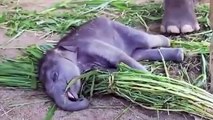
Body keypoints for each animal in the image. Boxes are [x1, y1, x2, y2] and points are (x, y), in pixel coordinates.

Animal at [38, 16, 185, 111]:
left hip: (122, 29)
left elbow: (120, 58)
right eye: (46, 91)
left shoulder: (91, 45)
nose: (81, 98)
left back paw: (170, 41)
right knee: (139, 53)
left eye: (54, 75)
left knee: (146, 41)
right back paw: (179, 54)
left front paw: (153, 80)